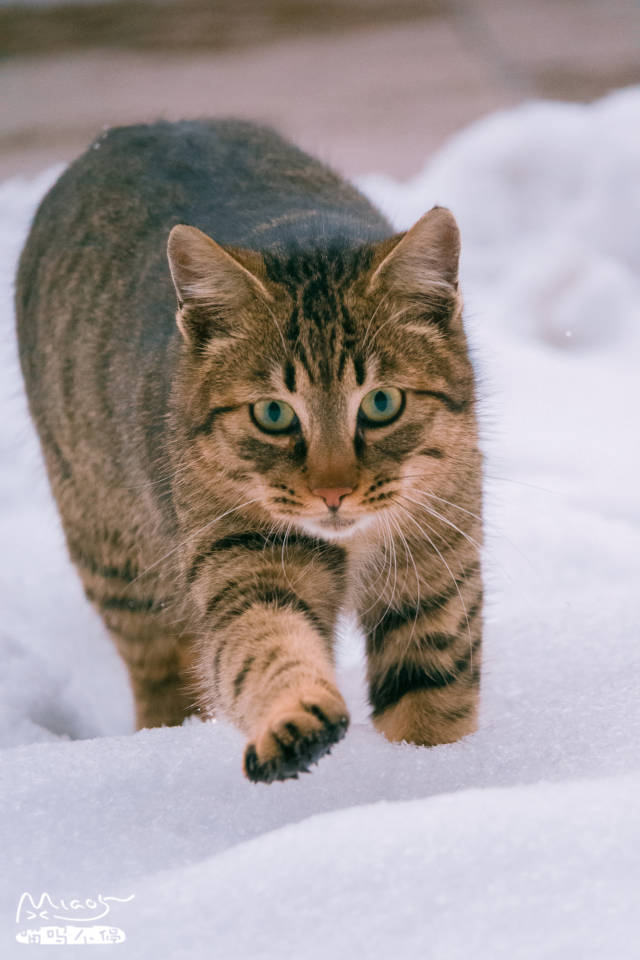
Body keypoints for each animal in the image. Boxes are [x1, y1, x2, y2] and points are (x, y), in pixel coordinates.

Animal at [15, 118, 482, 780]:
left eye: (382, 402)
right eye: (273, 413)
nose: (334, 491)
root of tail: (141, 126)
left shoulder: (436, 571)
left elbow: (431, 702)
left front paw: (443, 779)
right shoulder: (241, 562)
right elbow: (262, 648)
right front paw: (296, 720)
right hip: (118, 563)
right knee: (161, 675)